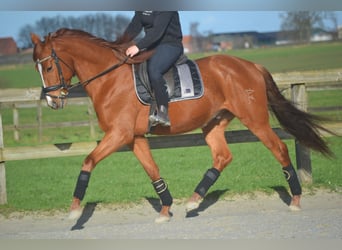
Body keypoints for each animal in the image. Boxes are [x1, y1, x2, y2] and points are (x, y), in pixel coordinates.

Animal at [31, 28, 332, 223]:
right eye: (37, 68)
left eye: (48, 67)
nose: (52, 101)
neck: (111, 79)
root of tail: (251, 65)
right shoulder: (134, 137)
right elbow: (152, 171)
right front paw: (165, 209)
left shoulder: (119, 134)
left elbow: (88, 161)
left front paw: (74, 210)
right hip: (214, 124)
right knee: (222, 156)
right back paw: (194, 200)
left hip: (255, 120)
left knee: (279, 149)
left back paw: (295, 200)